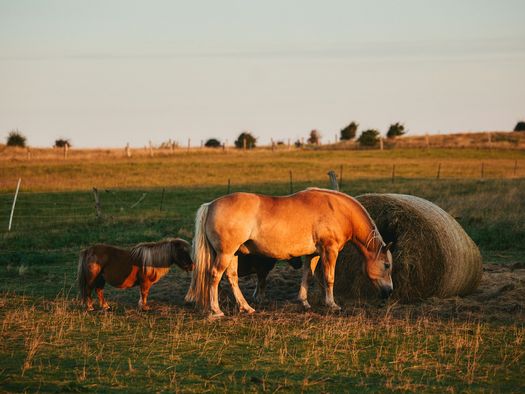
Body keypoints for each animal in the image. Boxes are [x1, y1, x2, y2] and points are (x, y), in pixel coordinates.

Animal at [186, 188, 390, 318]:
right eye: (387, 265)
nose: (388, 291)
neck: (337, 209)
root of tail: (210, 204)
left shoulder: (312, 254)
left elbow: (307, 276)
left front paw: (304, 302)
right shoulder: (329, 251)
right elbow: (329, 277)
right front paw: (332, 305)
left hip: (233, 254)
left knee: (232, 277)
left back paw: (246, 307)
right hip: (225, 254)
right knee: (214, 276)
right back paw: (216, 310)